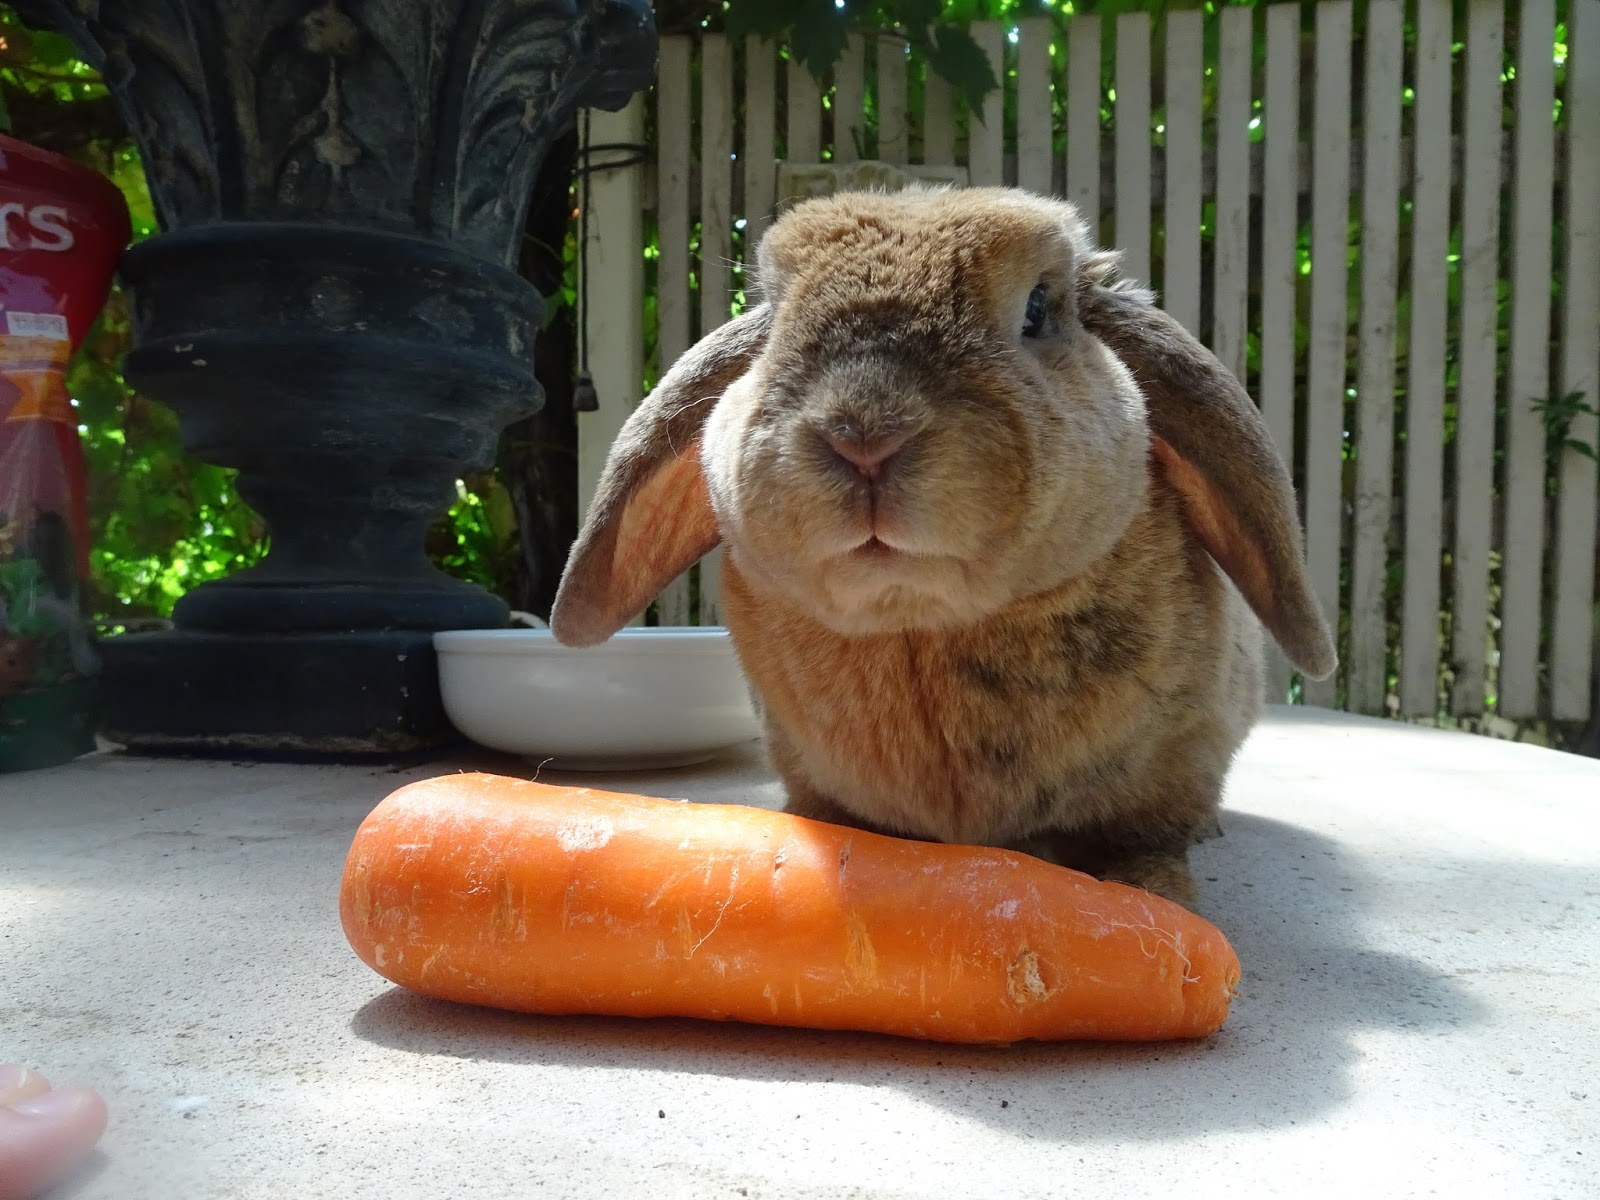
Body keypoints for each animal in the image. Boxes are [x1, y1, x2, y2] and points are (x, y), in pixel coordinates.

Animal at [550, 185, 1335, 907]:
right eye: (772, 314)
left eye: (1037, 309)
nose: (864, 436)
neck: (917, 625)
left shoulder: (1174, 764)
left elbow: (1145, 838)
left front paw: (1150, 892)